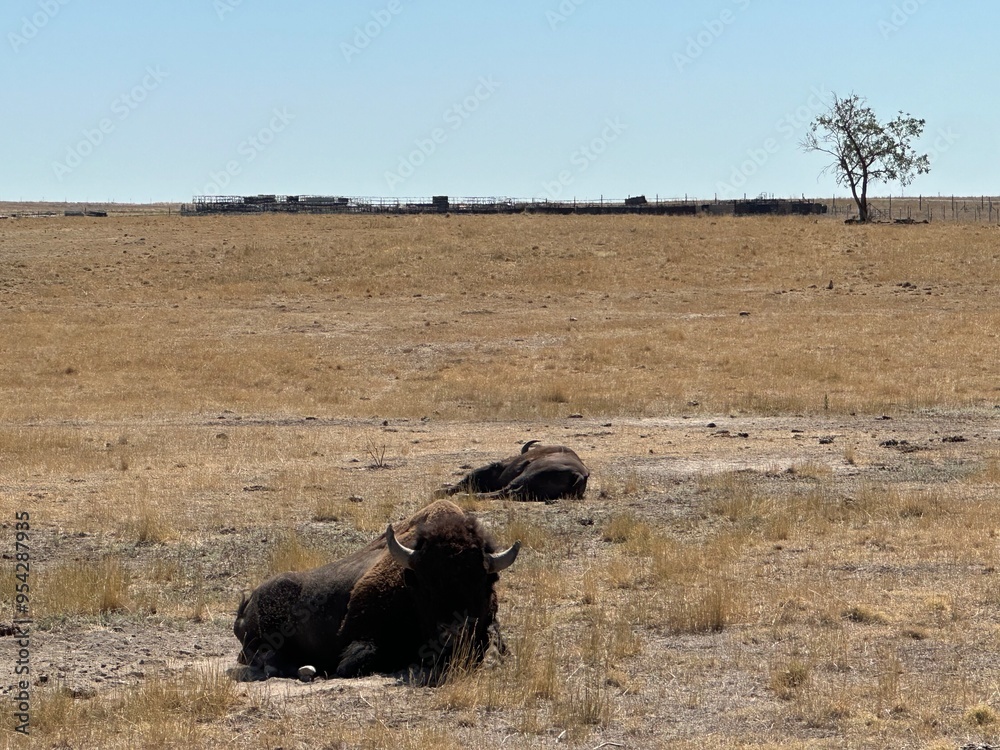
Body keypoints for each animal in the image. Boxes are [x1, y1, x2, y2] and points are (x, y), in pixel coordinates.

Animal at [231, 502, 520, 684]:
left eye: (484, 581)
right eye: (425, 584)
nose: (453, 635)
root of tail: (248, 604)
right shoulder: (362, 637)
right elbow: (356, 661)